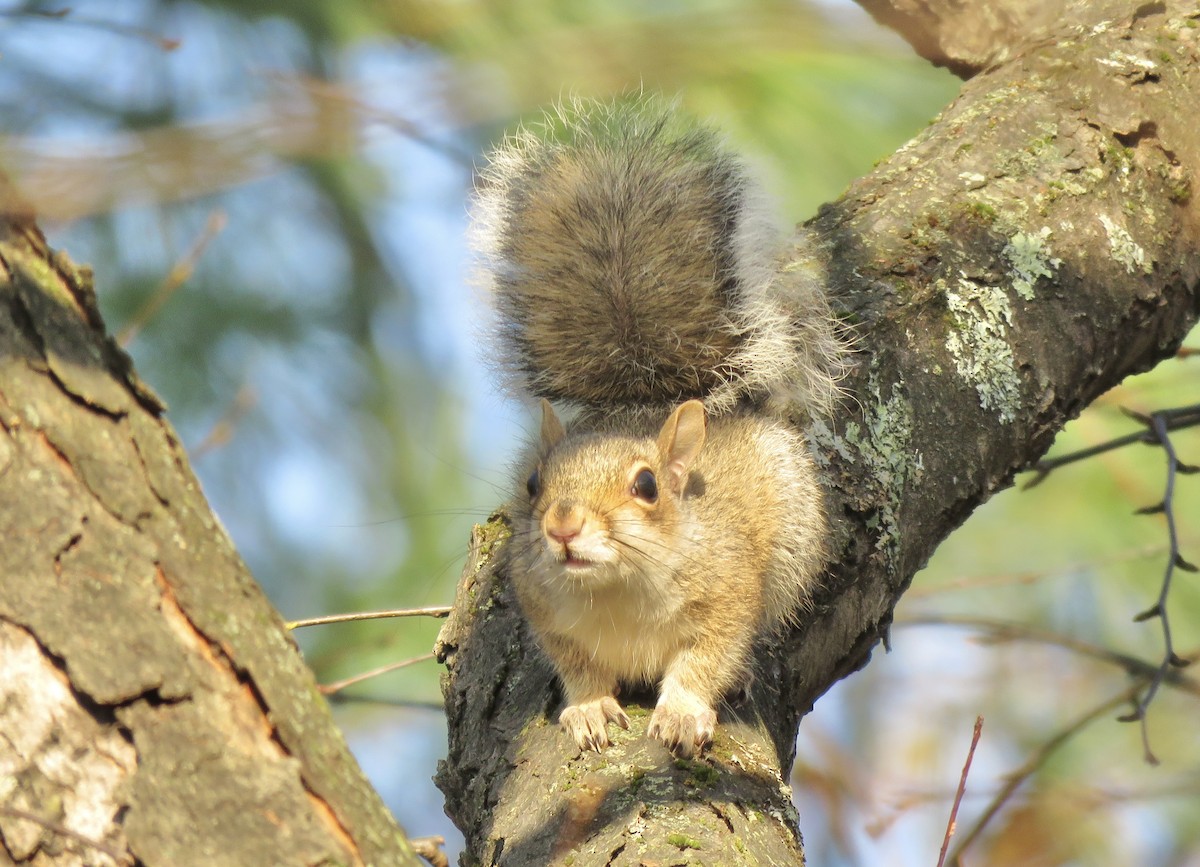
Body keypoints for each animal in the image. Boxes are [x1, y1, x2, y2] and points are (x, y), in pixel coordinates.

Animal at [471, 95, 848, 758]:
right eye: (532, 485)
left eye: (647, 486)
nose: (562, 527)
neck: (618, 591)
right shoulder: (547, 614)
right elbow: (579, 668)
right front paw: (588, 708)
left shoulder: (727, 595)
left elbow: (705, 661)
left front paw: (682, 712)